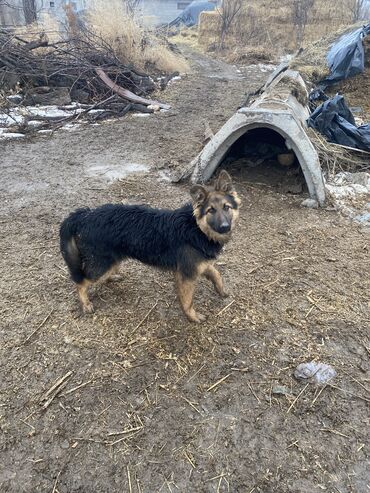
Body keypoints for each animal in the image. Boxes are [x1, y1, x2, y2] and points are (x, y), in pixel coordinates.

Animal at [59, 170, 241, 322]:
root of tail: (84, 215)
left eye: (226, 207)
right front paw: (192, 317)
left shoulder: (201, 264)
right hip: (100, 263)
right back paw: (85, 304)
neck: (196, 228)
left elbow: (217, 274)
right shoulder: (187, 275)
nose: (225, 227)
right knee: (81, 282)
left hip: (111, 259)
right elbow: (188, 301)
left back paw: (112, 277)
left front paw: (222, 291)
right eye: (210, 210)